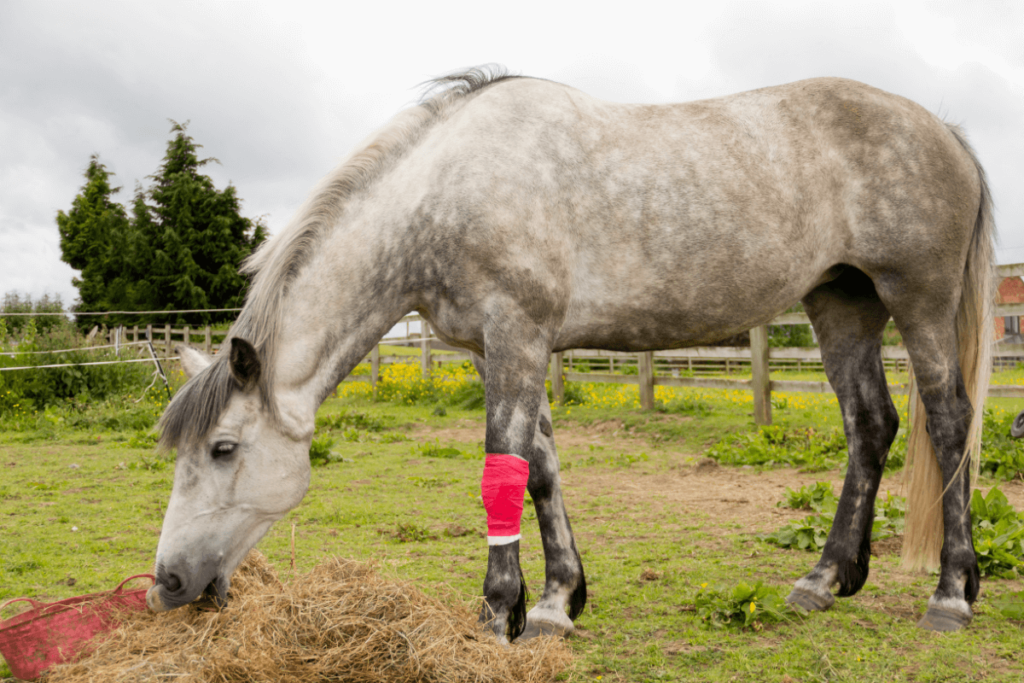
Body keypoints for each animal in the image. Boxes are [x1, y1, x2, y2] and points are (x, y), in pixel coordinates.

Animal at [144, 66, 991, 643]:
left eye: (224, 448)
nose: (169, 581)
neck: (445, 194)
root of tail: (944, 129)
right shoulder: (497, 348)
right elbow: (541, 466)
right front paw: (557, 600)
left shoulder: (517, 336)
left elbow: (502, 466)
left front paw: (500, 611)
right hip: (840, 303)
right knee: (870, 424)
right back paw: (825, 577)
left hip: (916, 301)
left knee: (949, 420)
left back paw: (951, 592)